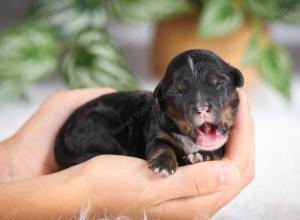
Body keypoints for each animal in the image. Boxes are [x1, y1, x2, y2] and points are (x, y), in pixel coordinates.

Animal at [54, 49, 244, 176]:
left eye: (219, 82)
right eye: (177, 92)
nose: (202, 108)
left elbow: (218, 149)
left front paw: (204, 156)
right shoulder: (157, 134)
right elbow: (161, 146)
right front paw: (163, 164)